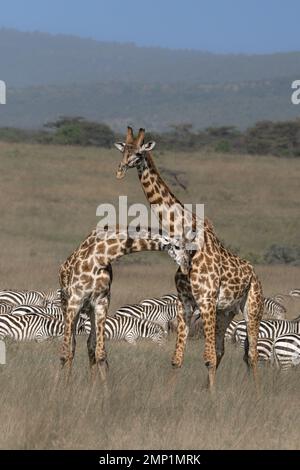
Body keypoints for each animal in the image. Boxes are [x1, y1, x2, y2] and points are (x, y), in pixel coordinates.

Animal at [59, 227, 188, 378]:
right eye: (177, 246)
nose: (186, 265)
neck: (101, 256)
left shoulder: (102, 301)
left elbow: (100, 354)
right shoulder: (75, 300)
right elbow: (65, 352)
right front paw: (59, 384)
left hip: (89, 309)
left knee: (90, 344)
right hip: (66, 304)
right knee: (71, 346)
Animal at [113, 126, 264, 388]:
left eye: (139, 153)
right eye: (124, 150)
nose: (121, 170)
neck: (186, 237)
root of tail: (255, 275)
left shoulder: (206, 300)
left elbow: (208, 358)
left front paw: (213, 398)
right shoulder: (185, 303)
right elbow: (177, 359)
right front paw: (170, 393)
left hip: (252, 307)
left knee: (252, 354)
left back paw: (256, 392)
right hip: (225, 312)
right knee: (225, 350)